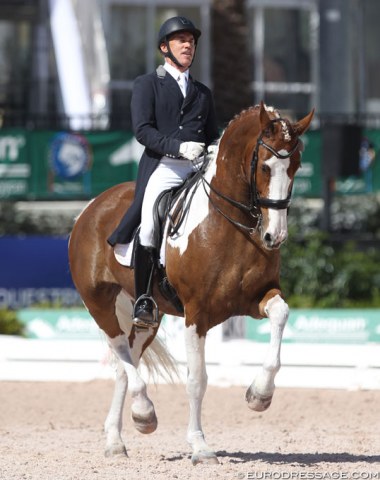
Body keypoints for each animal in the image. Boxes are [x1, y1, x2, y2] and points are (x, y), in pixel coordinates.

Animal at [69, 102, 314, 464]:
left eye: (295, 166)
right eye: (265, 167)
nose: (275, 236)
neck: (231, 223)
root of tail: (91, 206)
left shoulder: (256, 298)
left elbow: (281, 316)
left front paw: (259, 395)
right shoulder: (197, 314)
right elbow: (197, 379)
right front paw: (200, 447)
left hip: (147, 317)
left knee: (126, 360)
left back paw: (118, 438)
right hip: (99, 302)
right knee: (121, 351)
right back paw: (144, 413)